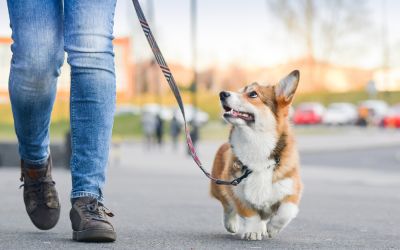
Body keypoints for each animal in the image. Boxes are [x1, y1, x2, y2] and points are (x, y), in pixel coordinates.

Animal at [209, 70, 304, 240]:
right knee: (227, 206)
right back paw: (231, 224)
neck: (257, 144)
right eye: (239, 90)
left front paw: (273, 228)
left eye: (253, 94)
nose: (222, 93)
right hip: (218, 186)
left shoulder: (292, 189)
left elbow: (286, 211)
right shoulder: (236, 191)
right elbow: (250, 214)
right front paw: (254, 230)